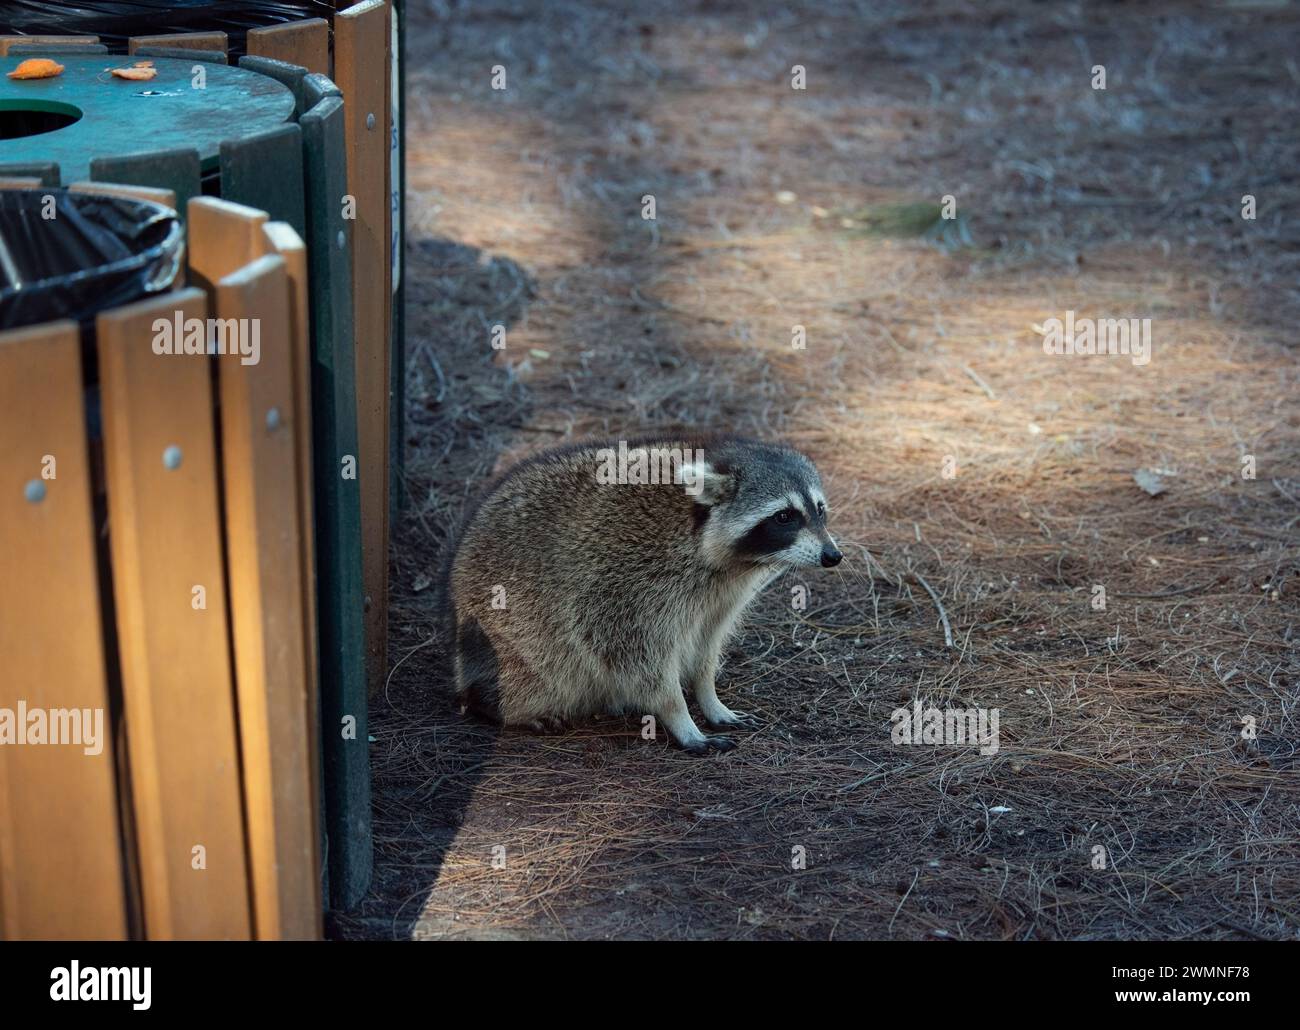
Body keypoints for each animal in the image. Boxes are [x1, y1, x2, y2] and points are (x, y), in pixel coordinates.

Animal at [443, 435, 842, 753]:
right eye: (785, 516)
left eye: (820, 510)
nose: (833, 555)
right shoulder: (626, 586)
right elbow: (635, 657)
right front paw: (679, 716)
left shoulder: (719, 597)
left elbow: (706, 646)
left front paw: (708, 696)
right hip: (509, 639)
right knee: (542, 671)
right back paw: (499, 704)